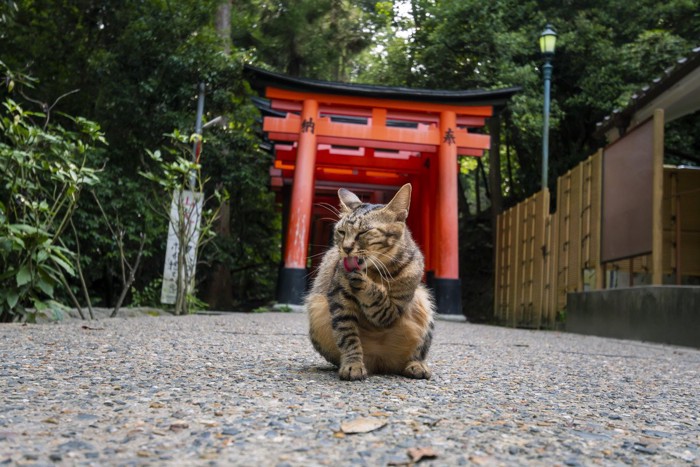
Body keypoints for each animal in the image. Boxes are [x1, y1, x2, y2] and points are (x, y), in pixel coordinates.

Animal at [304, 183, 432, 380]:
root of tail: (381, 364)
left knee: (417, 353)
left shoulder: (391, 311)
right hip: (317, 308)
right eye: (341, 232)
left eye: (364, 232)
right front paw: (353, 365)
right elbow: (348, 337)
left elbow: (378, 299)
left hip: (424, 302)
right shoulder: (340, 301)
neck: (379, 271)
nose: (346, 248)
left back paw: (416, 365)